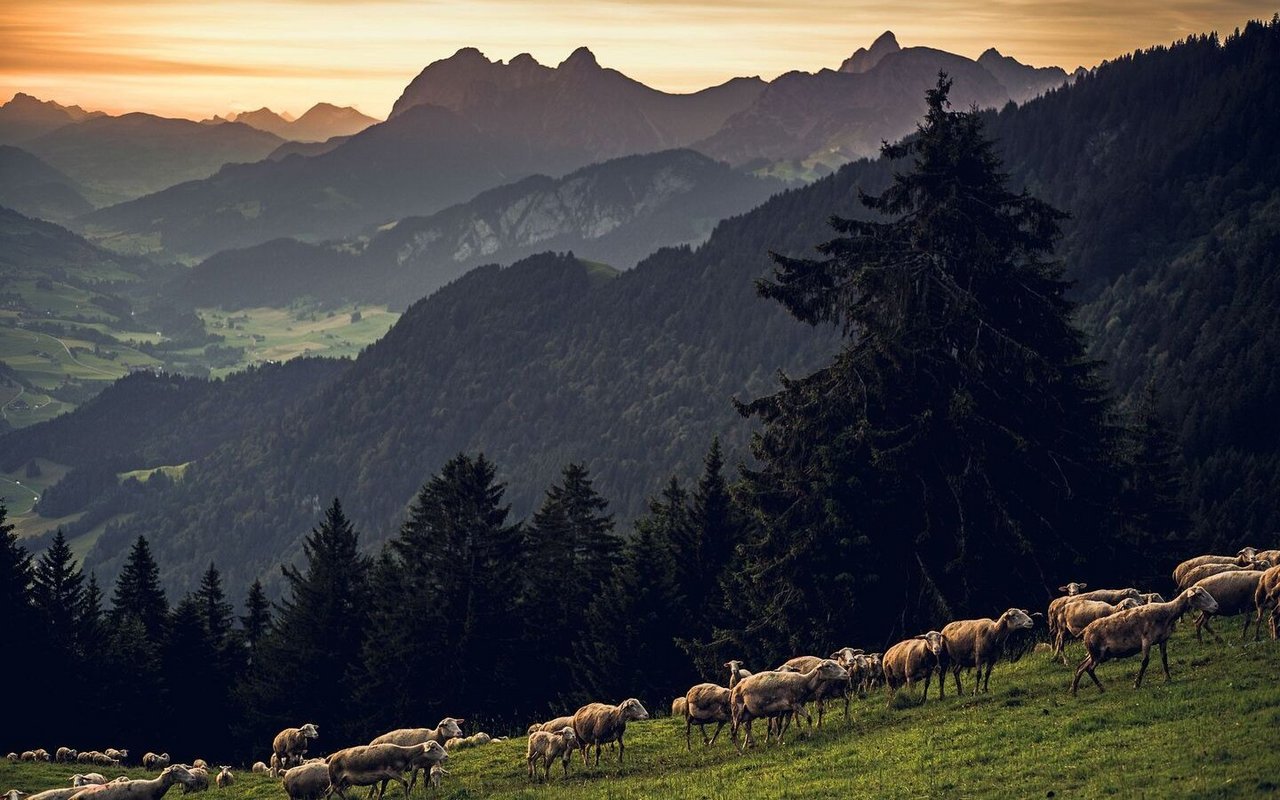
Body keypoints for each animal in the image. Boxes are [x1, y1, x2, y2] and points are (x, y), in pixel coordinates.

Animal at [1070, 583, 1218, 696]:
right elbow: (1145, 662)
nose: (1216, 606)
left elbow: (1164, 658)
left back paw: (1074, 691)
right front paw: (1137, 683)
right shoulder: (1146, 640)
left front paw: (1168, 678)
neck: (1167, 612)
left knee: (1081, 667)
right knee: (1089, 669)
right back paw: (1100, 688)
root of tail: (1085, 630)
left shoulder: (1163, 639)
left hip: (1095, 653)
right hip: (1098, 653)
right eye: (1200, 594)